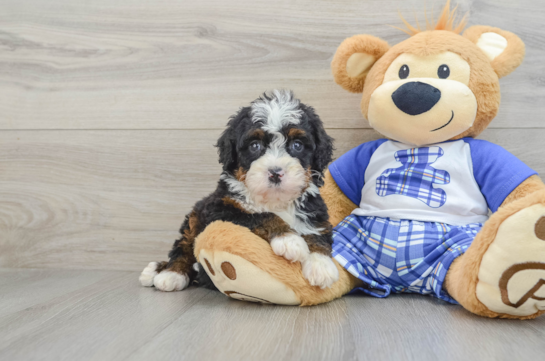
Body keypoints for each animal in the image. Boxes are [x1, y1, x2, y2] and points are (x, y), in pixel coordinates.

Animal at [138, 90, 338, 292]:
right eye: (255, 146)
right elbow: (261, 216)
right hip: (195, 217)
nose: (275, 172)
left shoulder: (316, 212)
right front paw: (289, 239)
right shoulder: (221, 210)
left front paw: (321, 265)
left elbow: (318, 234)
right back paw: (168, 273)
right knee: (183, 245)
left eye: (297, 145)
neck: (275, 201)